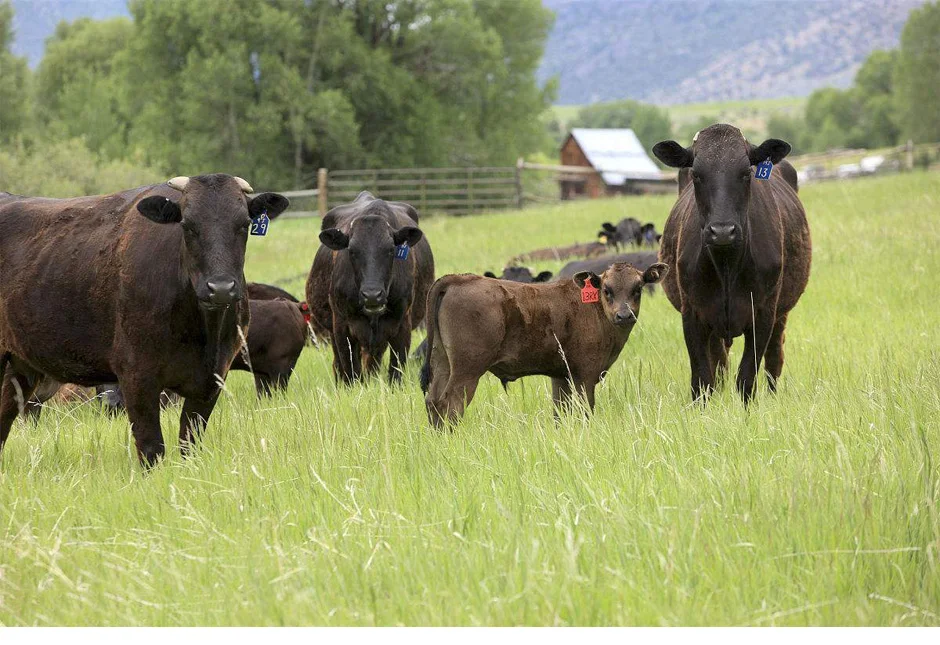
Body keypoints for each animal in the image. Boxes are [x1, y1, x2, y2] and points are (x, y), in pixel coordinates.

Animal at [0, 174, 290, 466]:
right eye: (187, 225)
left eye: (244, 224)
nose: (220, 288)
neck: (201, 332)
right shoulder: (136, 375)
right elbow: (152, 448)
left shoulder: (213, 377)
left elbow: (189, 442)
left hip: (21, 363)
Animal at [418, 260, 668, 426]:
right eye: (607, 290)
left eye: (638, 288)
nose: (624, 316)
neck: (594, 309)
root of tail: (460, 278)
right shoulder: (585, 375)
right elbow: (585, 411)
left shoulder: (561, 376)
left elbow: (560, 412)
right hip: (467, 370)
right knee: (450, 404)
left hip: (442, 362)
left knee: (433, 402)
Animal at [652, 123, 808, 400]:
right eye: (697, 175)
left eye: (746, 173)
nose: (722, 231)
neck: (726, 265)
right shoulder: (692, 314)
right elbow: (701, 379)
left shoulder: (763, 314)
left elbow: (746, 377)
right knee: (719, 363)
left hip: (781, 313)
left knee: (774, 359)